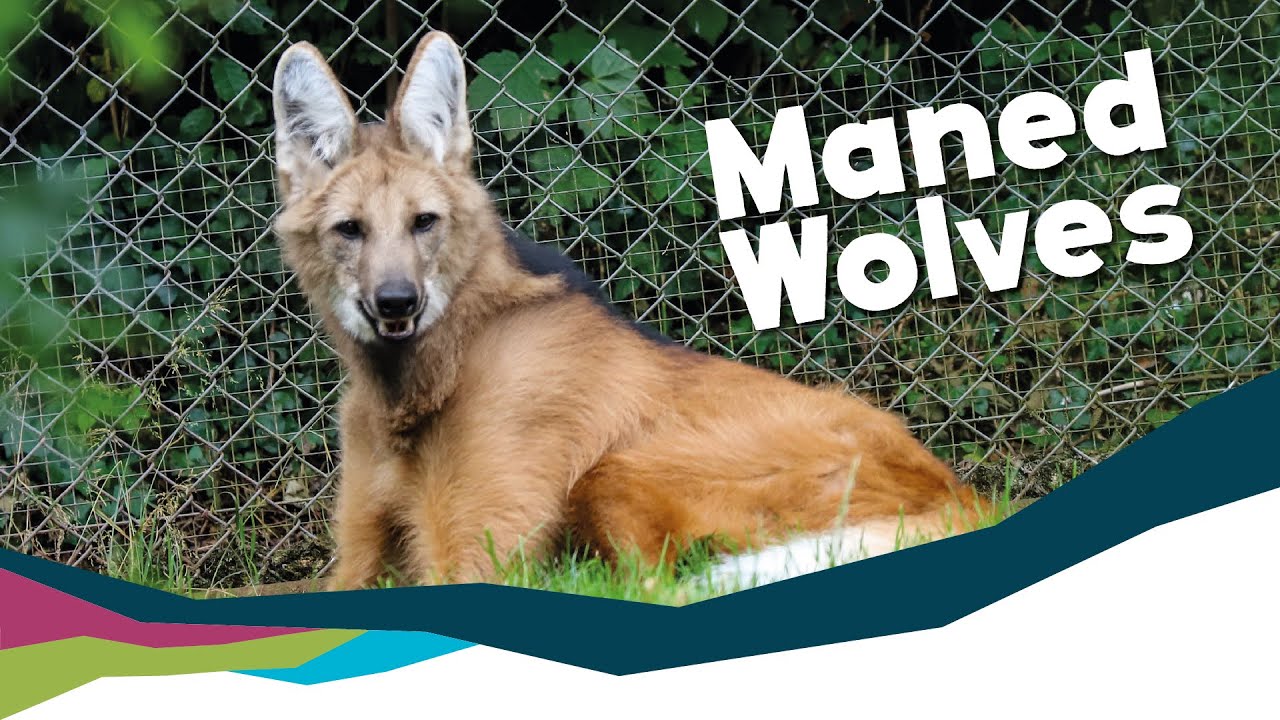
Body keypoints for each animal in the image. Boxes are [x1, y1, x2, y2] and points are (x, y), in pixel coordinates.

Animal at [270, 32, 986, 590]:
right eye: (350, 230)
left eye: (424, 223)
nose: (397, 302)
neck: (411, 387)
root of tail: (963, 495)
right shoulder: (361, 550)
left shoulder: (476, 554)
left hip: (615, 472)